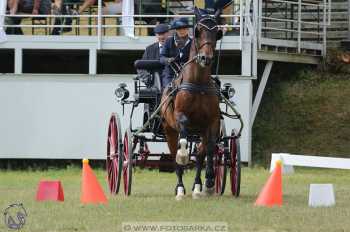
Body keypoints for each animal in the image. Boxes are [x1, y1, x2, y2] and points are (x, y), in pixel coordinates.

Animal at [160, 7, 223, 199]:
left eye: (217, 33)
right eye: (198, 31)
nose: (205, 58)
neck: (198, 83)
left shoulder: (212, 121)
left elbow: (209, 149)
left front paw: (209, 182)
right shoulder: (180, 117)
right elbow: (183, 141)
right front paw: (183, 155)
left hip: (200, 132)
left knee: (201, 155)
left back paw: (197, 187)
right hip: (169, 131)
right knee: (175, 156)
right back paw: (180, 189)